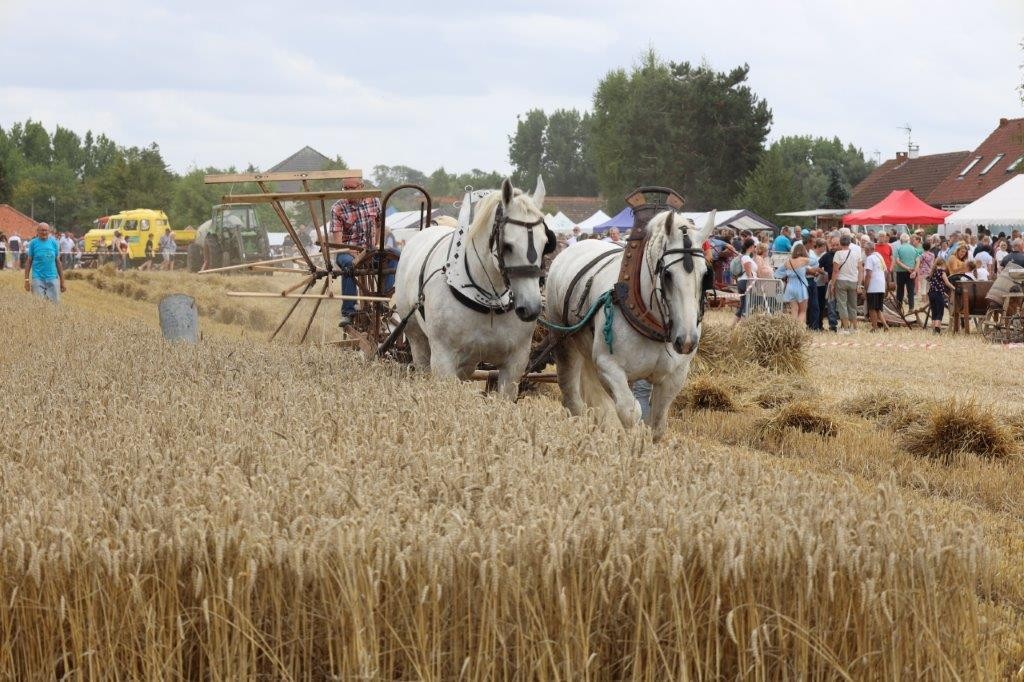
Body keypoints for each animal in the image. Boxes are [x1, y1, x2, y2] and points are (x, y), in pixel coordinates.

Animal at [391, 178, 552, 399]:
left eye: (545, 244)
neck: (489, 301)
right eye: (508, 245)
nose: (531, 308)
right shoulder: (443, 360)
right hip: (417, 339)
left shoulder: (515, 363)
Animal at [544, 208, 712, 440]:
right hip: (564, 345)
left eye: (705, 275)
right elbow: (630, 411)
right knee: (572, 396)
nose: (686, 341)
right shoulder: (608, 366)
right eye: (668, 274)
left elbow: (657, 425)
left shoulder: (675, 375)